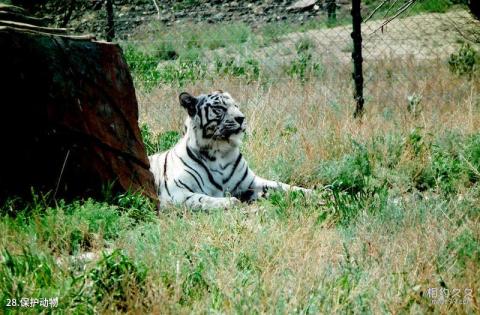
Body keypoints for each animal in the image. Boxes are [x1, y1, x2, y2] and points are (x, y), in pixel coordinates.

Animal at [148, 91, 312, 210]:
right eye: (219, 108)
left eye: (236, 106)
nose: (241, 118)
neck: (220, 151)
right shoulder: (175, 192)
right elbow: (201, 198)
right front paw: (230, 202)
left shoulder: (251, 182)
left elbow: (282, 185)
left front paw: (312, 192)